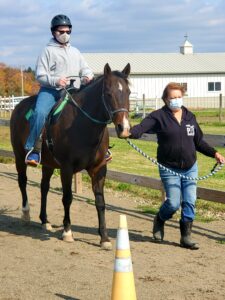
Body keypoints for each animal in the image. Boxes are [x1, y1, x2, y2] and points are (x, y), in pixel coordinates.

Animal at [10, 62, 130, 248]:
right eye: (109, 93)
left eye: (129, 92)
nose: (124, 128)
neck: (82, 123)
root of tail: (18, 106)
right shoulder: (66, 168)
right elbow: (67, 198)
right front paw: (67, 232)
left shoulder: (99, 169)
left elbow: (100, 202)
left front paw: (104, 238)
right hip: (19, 157)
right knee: (22, 182)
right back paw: (26, 214)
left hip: (48, 163)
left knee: (44, 187)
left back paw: (44, 221)